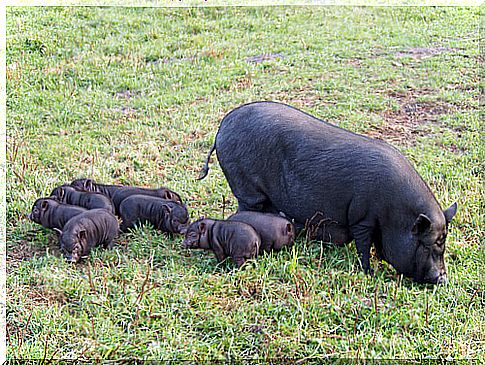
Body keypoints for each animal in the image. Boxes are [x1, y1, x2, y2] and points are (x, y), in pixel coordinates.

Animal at [198, 101, 458, 282]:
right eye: (429, 244)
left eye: (442, 242)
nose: (443, 279)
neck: (394, 215)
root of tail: (221, 129)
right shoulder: (362, 217)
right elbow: (364, 244)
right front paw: (369, 272)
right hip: (246, 188)